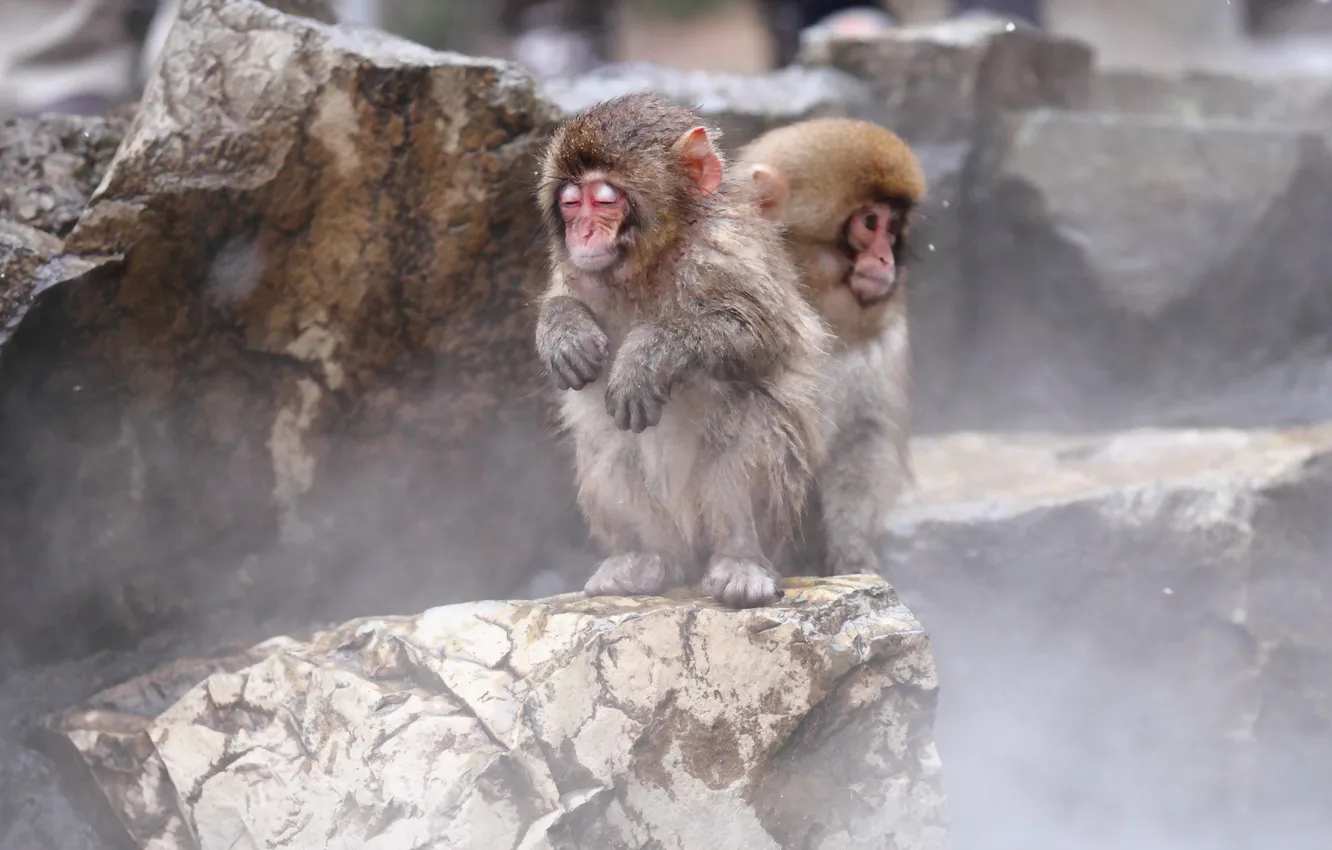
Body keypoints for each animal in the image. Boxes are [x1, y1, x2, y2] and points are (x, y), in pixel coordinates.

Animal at [533, 93, 831, 609]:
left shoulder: (727, 250)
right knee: (607, 443)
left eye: (604, 200)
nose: (582, 234)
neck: (653, 260)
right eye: (570, 203)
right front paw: (562, 328)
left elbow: (760, 333)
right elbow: (561, 297)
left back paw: (740, 559)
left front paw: (647, 355)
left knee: (751, 420)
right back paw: (648, 559)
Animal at [737, 117, 927, 578]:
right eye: (870, 222)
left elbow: (864, 437)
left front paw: (852, 551)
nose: (887, 260)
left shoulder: (886, 337)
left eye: (893, 226)